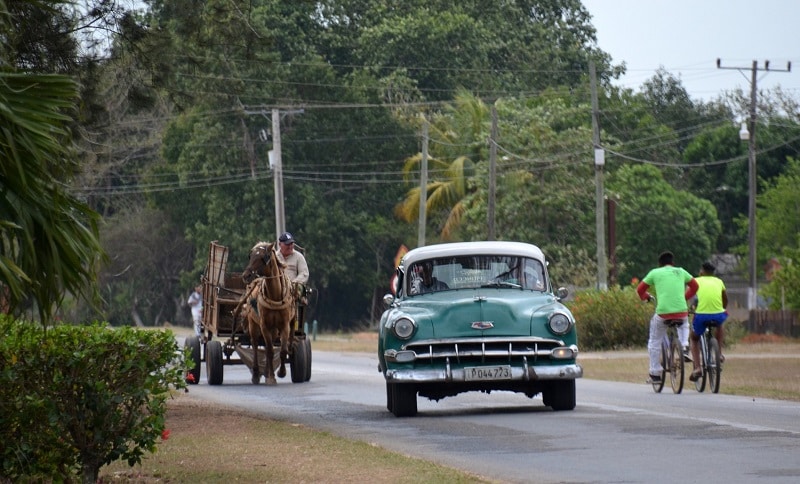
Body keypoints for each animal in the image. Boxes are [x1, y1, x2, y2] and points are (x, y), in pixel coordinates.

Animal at [233, 244, 296, 384]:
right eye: (250, 256)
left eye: (263, 257)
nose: (246, 275)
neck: (275, 297)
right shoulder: (264, 325)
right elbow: (270, 351)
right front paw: (271, 377)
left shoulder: (284, 326)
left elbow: (282, 350)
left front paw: (280, 373)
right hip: (253, 324)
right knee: (256, 345)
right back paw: (256, 374)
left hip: (274, 330)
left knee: (268, 346)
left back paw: (267, 372)